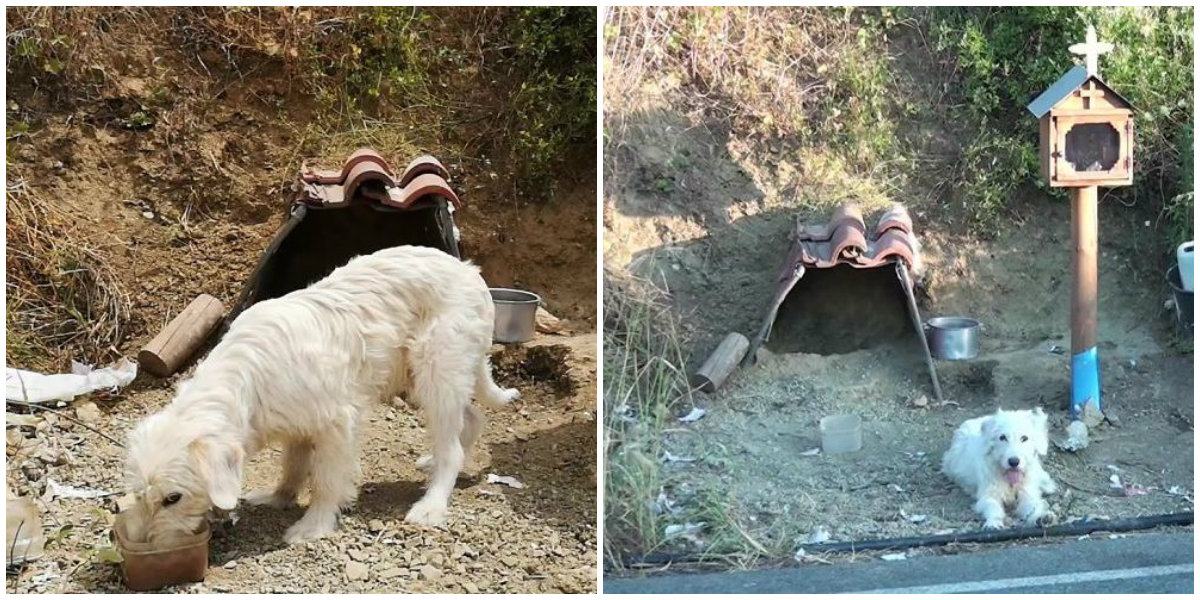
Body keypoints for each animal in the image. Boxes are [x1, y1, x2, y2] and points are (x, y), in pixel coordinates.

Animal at [124, 243, 523, 544]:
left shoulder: (335, 425)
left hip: (438, 371)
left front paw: (312, 526)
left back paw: (432, 504)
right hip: (424, 377)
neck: (246, 381)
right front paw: (278, 497)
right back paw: (432, 461)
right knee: (470, 419)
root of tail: (470, 271)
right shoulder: (297, 426)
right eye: (140, 494)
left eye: (173, 498)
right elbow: (293, 466)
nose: (142, 543)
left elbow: (327, 481)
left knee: (452, 448)